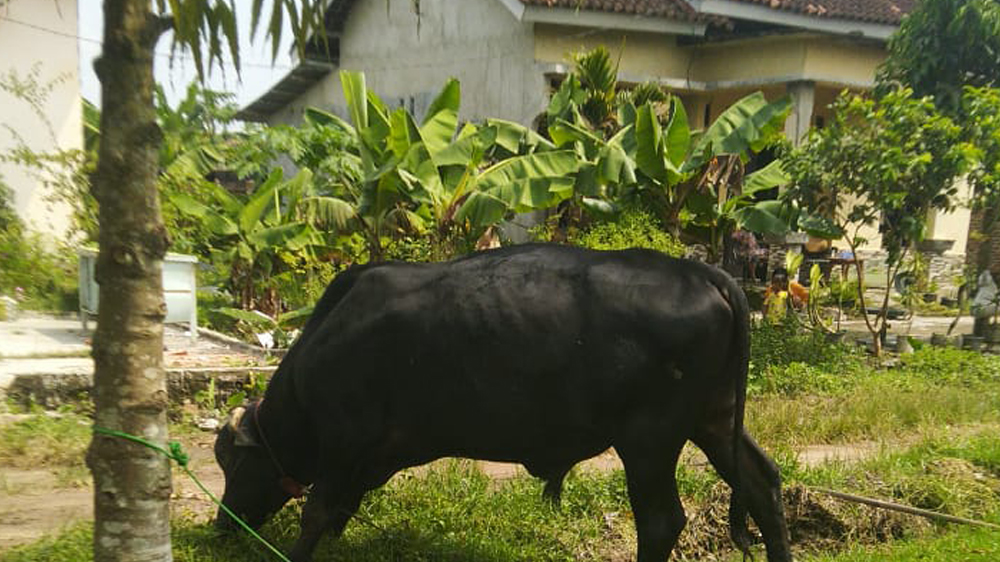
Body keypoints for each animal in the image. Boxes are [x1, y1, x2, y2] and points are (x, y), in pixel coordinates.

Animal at [215, 243, 792, 556]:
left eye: (234, 464)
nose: (221, 525)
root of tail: (700, 271)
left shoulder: (343, 438)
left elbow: (316, 513)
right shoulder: (362, 459)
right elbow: (336, 512)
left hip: (649, 440)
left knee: (660, 523)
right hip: (714, 419)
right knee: (762, 484)